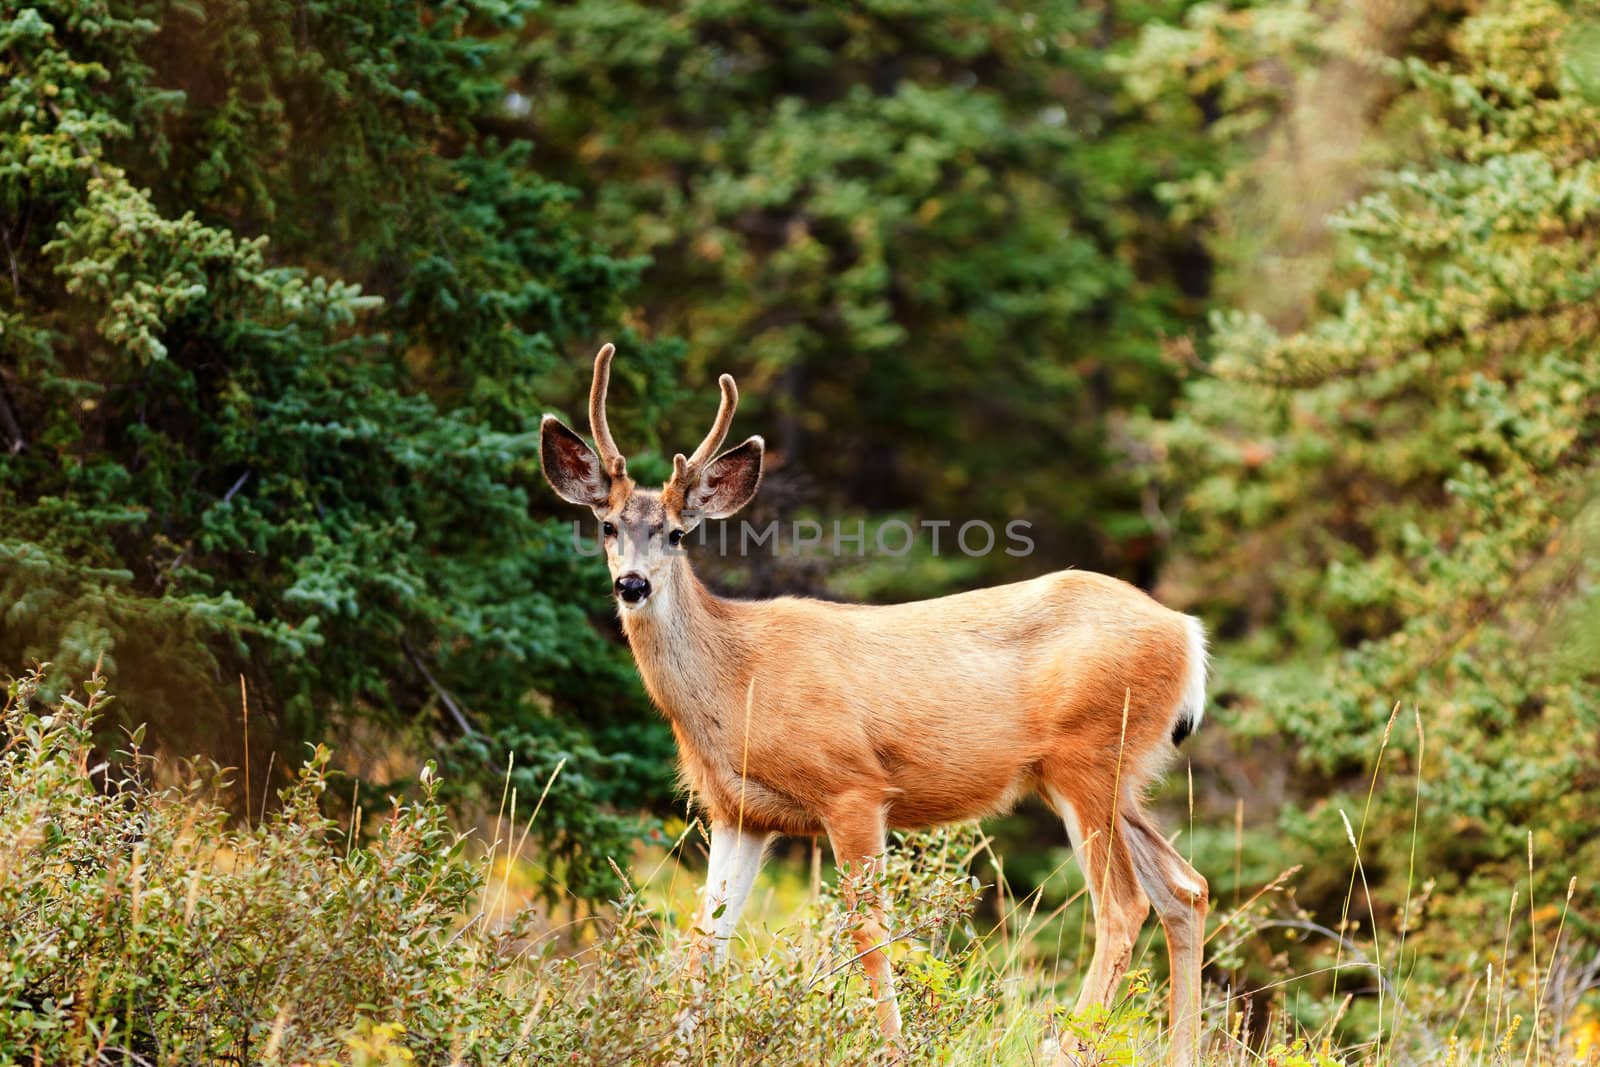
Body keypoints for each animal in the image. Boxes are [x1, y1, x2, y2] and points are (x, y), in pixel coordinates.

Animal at [540, 347, 1209, 1062]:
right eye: (607, 525)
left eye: (673, 533)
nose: (631, 584)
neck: (737, 681)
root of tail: (1186, 633)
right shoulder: (736, 811)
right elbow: (707, 939)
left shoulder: (852, 786)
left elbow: (869, 930)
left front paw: (893, 1046)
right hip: (1117, 774)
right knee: (1184, 890)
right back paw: (1181, 1049)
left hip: (1087, 755)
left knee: (1124, 905)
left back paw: (1064, 1044)